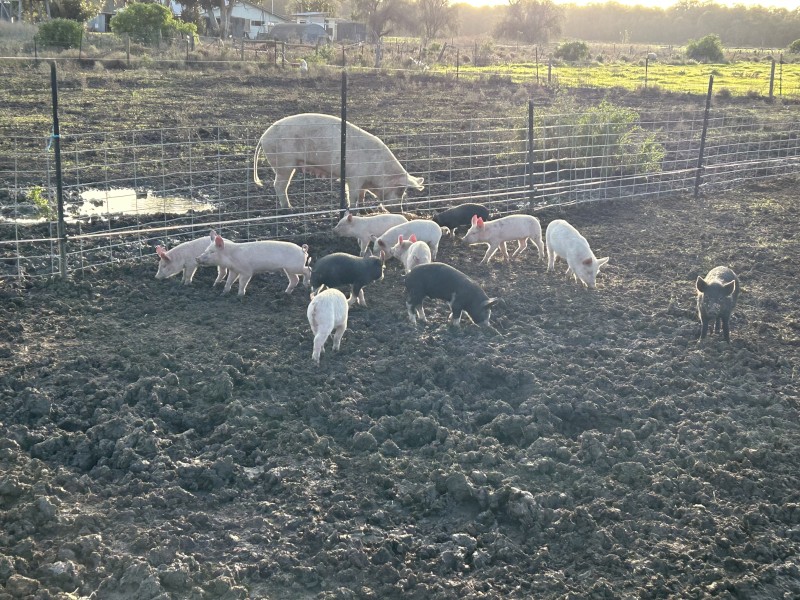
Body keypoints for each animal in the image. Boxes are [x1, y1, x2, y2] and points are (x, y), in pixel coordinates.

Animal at [253, 113, 425, 209]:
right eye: (400, 190)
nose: (400, 211)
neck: (378, 171)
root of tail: (263, 137)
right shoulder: (354, 178)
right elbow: (353, 197)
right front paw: (354, 211)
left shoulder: (363, 182)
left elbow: (362, 196)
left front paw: (365, 210)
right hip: (284, 164)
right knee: (279, 185)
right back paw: (289, 208)